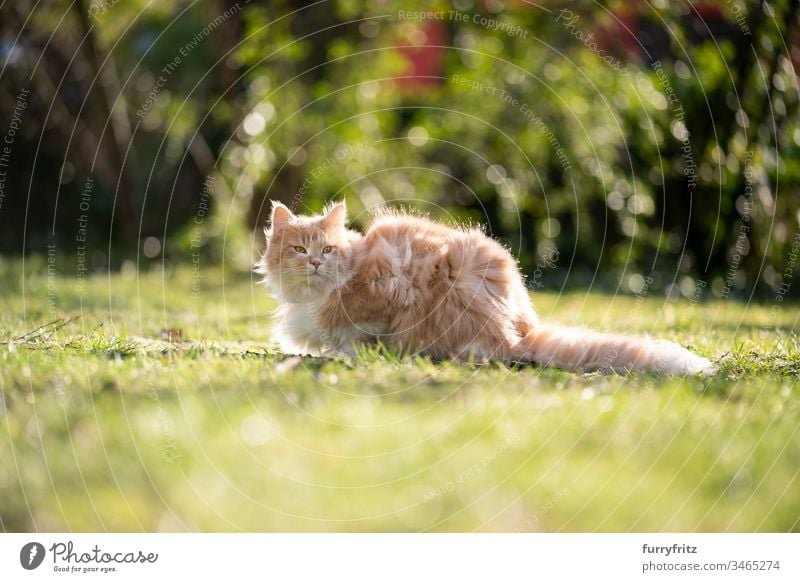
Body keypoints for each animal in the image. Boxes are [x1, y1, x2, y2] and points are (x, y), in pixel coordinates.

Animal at [256, 200, 712, 374]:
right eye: (299, 249)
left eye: (327, 249)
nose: (315, 262)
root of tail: (519, 332)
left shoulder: (386, 299)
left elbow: (357, 339)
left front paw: (341, 352)